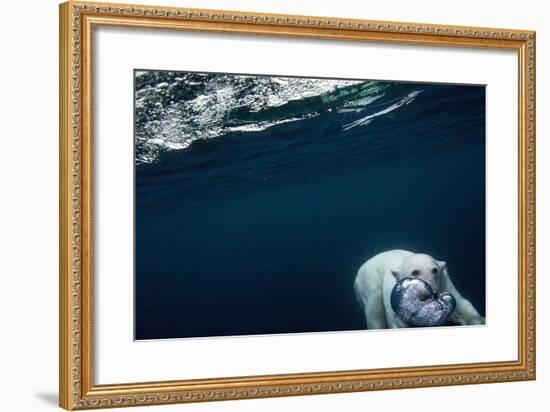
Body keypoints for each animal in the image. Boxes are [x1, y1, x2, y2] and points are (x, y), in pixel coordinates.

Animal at [356, 249, 486, 330]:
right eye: (415, 272)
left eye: (434, 270)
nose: (431, 292)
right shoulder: (395, 297)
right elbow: (398, 321)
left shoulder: (445, 283)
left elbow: (464, 306)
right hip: (369, 281)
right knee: (375, 314)